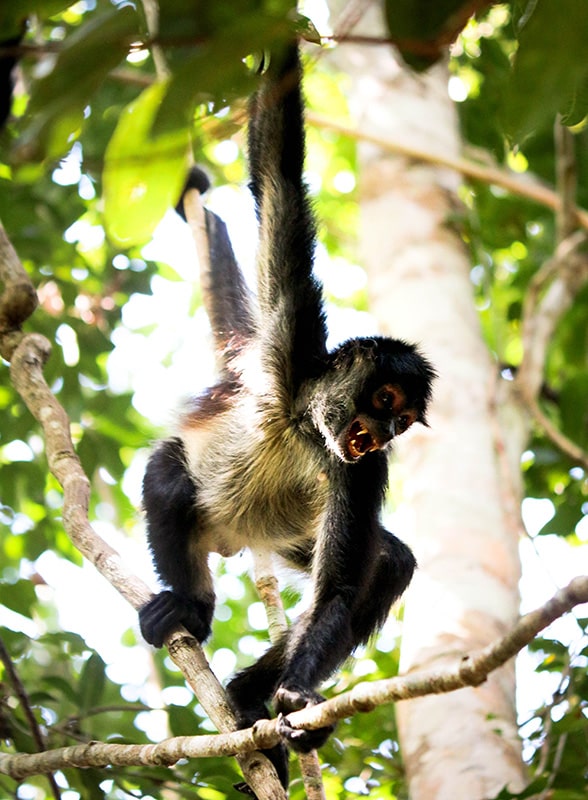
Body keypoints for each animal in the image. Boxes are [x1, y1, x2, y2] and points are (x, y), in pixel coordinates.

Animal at [139, 43, 432, 788]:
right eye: (387, 403)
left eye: (403, 423)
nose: (382, 433)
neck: (307, 426)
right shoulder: (292, 338)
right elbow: (276, 177)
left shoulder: (360, 469)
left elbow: (339, 592)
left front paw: (297, 698)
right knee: (170, 478)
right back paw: (192, 609)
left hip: (285, 532)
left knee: (388, 561)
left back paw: (251, 705)